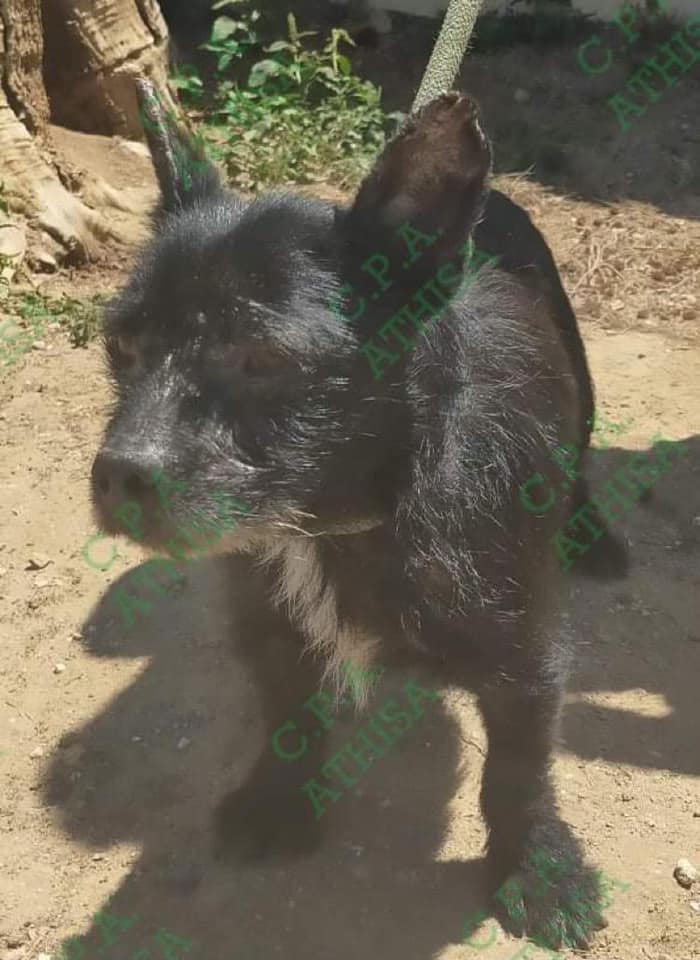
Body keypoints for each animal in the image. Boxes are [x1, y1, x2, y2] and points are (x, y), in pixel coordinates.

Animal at [91, 85, 626, 949]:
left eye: (262, 359)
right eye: (122, 347)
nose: (117, 473)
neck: (343, 520)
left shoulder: (527, 662)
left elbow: (517, 774)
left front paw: (540, 872)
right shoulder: (271, 625)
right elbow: (287, 713)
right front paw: (282, 799)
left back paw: (593, 533)